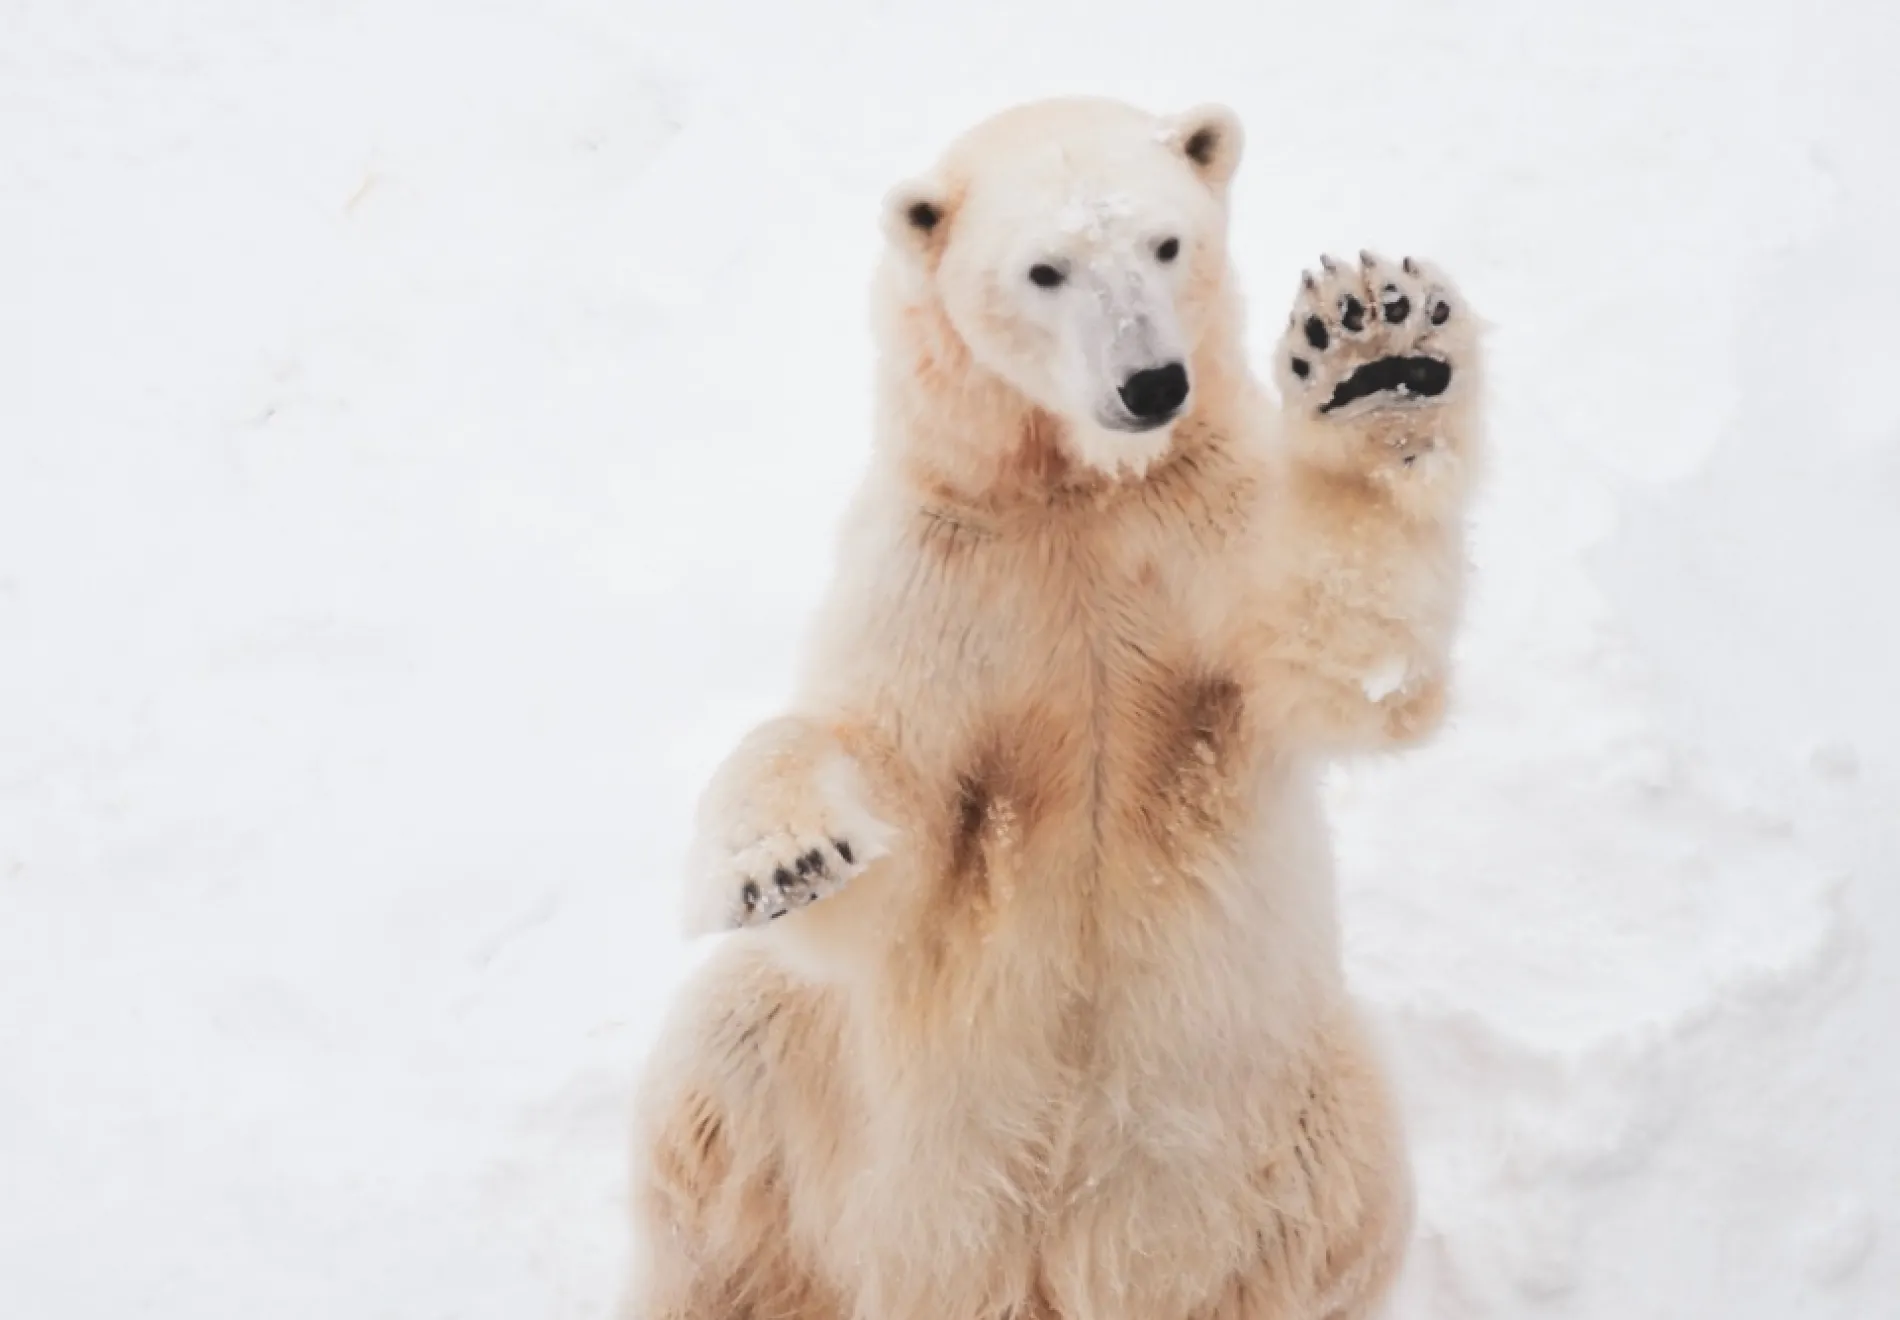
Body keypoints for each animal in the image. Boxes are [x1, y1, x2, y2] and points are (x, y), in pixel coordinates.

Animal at [626, 96, 1482, 1320]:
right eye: (1045, 269)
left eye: (1166, 243)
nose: (1153, 383)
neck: (1075, 496)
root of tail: (1047, 1270)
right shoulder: (945, 568)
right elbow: (883, 803)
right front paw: (785, 858)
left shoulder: (1203, 530)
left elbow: (1344, 656)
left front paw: (1380, 358)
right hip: (815, 1109)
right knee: (718, 1104)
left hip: (1291, 1102)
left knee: (1339, 1206)